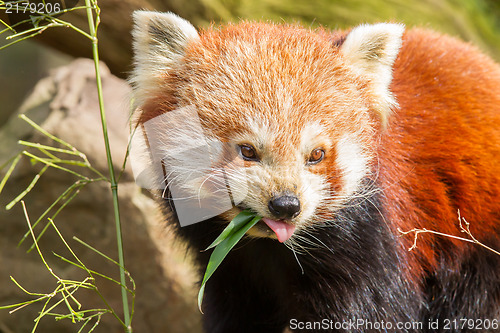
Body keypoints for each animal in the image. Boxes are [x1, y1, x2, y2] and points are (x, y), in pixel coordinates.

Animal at [131, 10, 500, 332]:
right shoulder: (231, 270)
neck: (271, 248)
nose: (285, 205)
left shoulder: (373, 241)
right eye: (247, 151)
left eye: (316, 155)